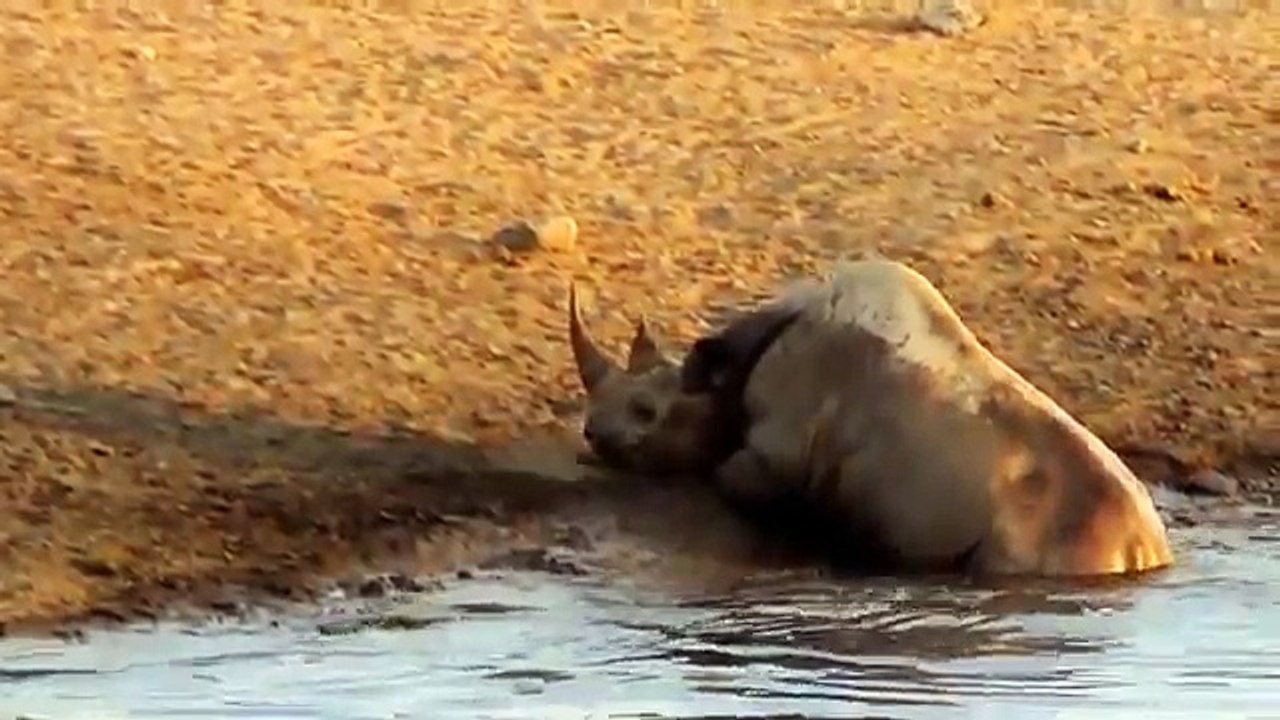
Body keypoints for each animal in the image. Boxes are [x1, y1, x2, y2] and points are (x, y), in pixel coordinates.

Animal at [567, 259, 1174, 577]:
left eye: (646, 411)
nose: (592, 432)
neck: (726, 377)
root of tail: (1148, 552)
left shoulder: (774, 458)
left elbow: (725, 474)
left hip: (1063, 543)